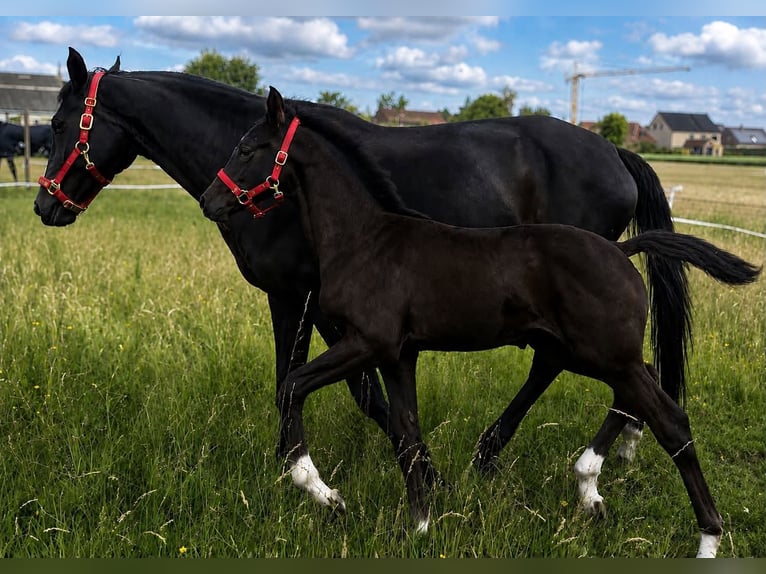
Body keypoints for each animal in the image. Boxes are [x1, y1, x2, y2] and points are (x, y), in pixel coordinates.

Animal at [36, 47, 686, 499]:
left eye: (59, 123)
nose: (46, 205)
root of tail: (614, 152)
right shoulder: (327, 310)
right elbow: (353, 390)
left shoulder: (297, 297)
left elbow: (315, 382)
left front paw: (303, 471)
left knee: (562, 365)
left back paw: (507, 454)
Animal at [199, 87, 761, 557]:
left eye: (248, 147)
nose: (210, 201)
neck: (366, 239)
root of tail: (623, 250)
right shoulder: (398, 355)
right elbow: (406, 432)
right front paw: (420, 527)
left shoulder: (366, 342)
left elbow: (293, 385)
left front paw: (319, 489)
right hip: (597, 355)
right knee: (633, 401)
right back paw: (588, 483)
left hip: (608, 355)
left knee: (671, 420)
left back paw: (705, 538)